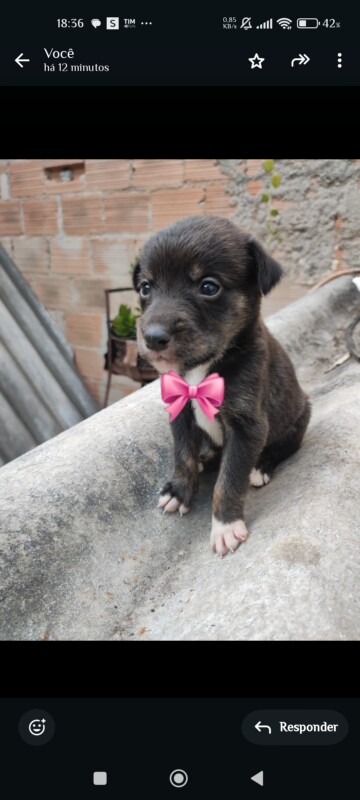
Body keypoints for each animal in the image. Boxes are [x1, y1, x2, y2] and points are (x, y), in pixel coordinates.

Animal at [132, 216, 310, 560]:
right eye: (146, 287)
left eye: (208, 287)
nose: (153, 337)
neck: (200, 370)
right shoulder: (179, 411)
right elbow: (183, 455)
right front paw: (180, 491)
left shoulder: (247, 427)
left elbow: (229, 480)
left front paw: (225, 526)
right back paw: (208, 459)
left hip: (299, 416)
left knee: (282, 448)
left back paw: (260, 467)